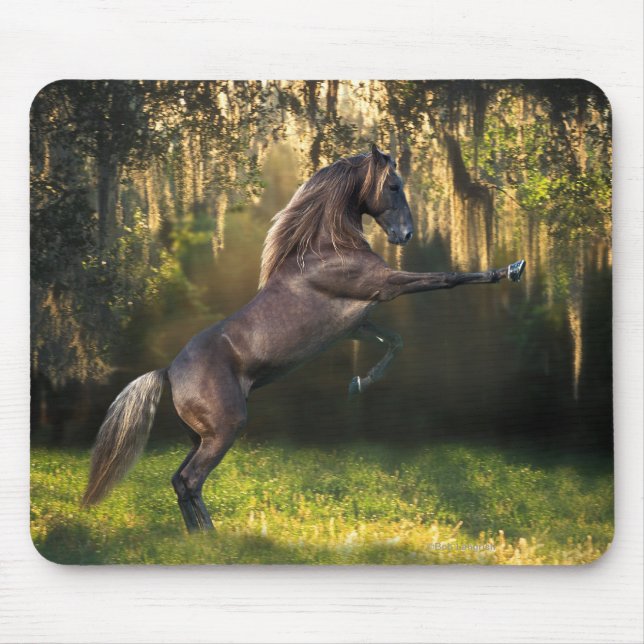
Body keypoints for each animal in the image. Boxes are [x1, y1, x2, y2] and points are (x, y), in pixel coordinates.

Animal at [82, 144, 526, 532]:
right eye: (394, 186)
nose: (406, 235)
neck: (328, 248)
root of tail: (168, 372)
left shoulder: (358, 323)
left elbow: (395, 341)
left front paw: (358, 384)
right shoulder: (386, 286)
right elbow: (448, 278)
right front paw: (510, 269)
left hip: (200, 436)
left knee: (180, 481)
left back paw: (202, 536)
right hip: (224, 429)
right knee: (190, 480)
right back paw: (210, 537)